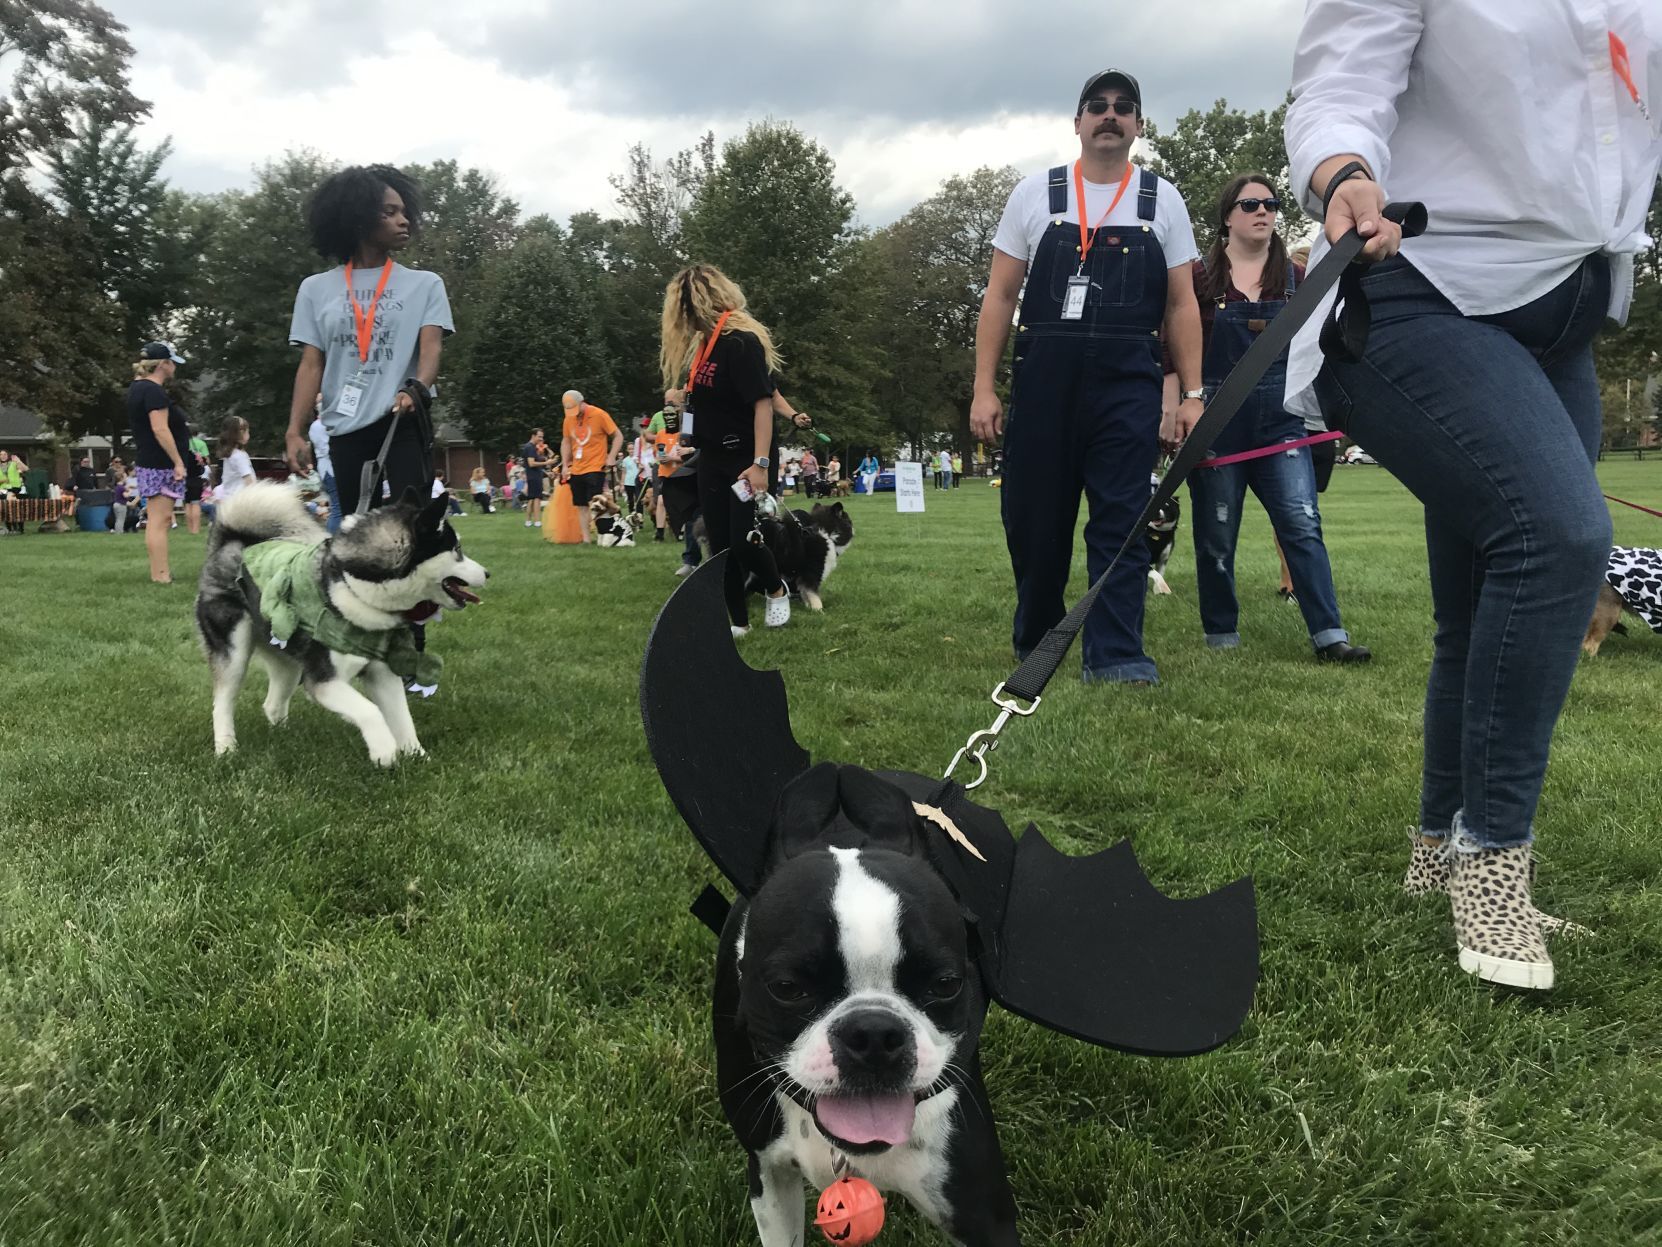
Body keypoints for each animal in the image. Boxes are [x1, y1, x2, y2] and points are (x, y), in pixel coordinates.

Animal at [196, 482, 485, 768]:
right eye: (458, 551)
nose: (487, 573)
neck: (353, 586)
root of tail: (233, 541)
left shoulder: (381, 672)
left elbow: (403, 718)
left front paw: (417, 756)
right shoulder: (323, 680)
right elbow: (370, 710)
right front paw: (384, 751)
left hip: (288, 658)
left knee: (272, 703)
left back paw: (288, 740)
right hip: (234, 651)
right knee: (222, 702)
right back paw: (226, 748)